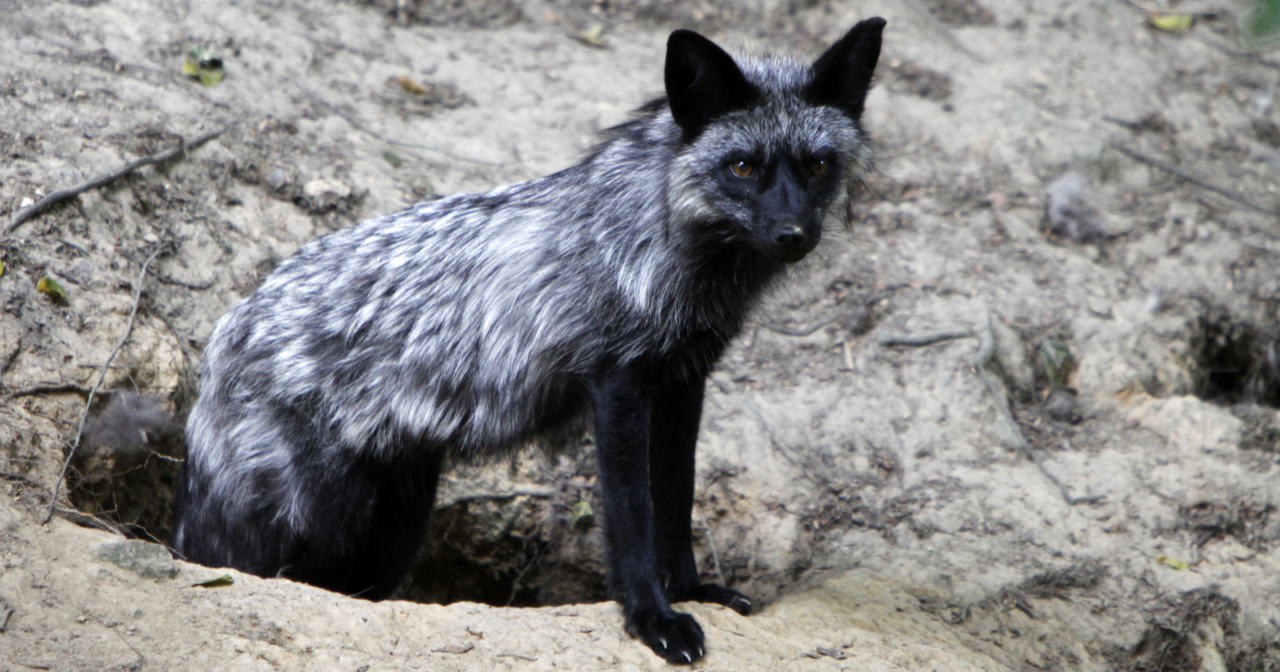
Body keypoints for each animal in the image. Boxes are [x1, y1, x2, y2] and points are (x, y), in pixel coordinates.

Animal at [173, 19, 885, 664]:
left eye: (817, 165)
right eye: (742, 167)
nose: (795, 234)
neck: (659, 240)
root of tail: (226, 334)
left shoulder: (684, 382)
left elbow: (675, 504)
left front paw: (689, 591)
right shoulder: (617, 385)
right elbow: (633, 516)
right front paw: (652, 617)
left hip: (396, 525)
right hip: (315, 523)